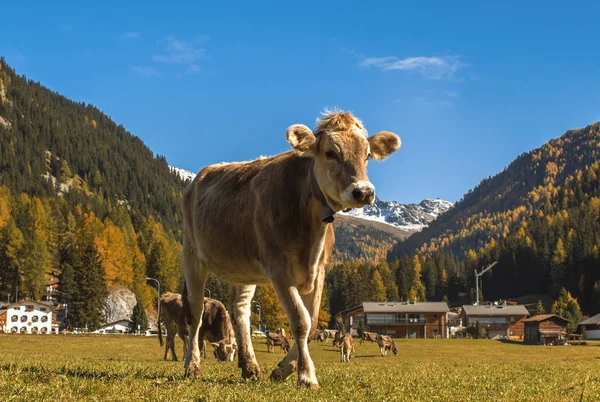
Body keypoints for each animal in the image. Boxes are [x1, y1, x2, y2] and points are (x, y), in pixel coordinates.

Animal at [180, 109, 400, 386]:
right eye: (330, 153)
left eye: (367, 155)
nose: (363, 191)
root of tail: (201, 175)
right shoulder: (279, 267)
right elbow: (300, 321)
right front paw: (306, 375)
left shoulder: (320, 269)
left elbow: (313, 322)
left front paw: (283, 369)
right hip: (191, 254)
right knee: (196, 312)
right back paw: (192, 366)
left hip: (243, 267)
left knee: (239, 309)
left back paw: (250, 367)